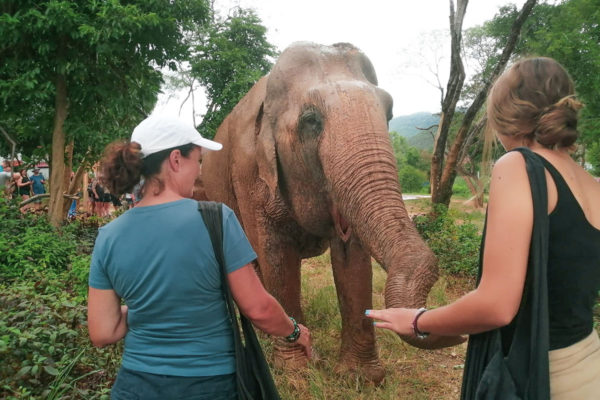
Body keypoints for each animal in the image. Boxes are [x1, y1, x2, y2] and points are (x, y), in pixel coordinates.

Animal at [202, 42, 460, 382]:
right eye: (311, 120)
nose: (457, 333)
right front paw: (297, 372)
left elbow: (352, 258)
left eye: (390, 113)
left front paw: (359, 377)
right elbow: (276, 258)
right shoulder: (249, 174)